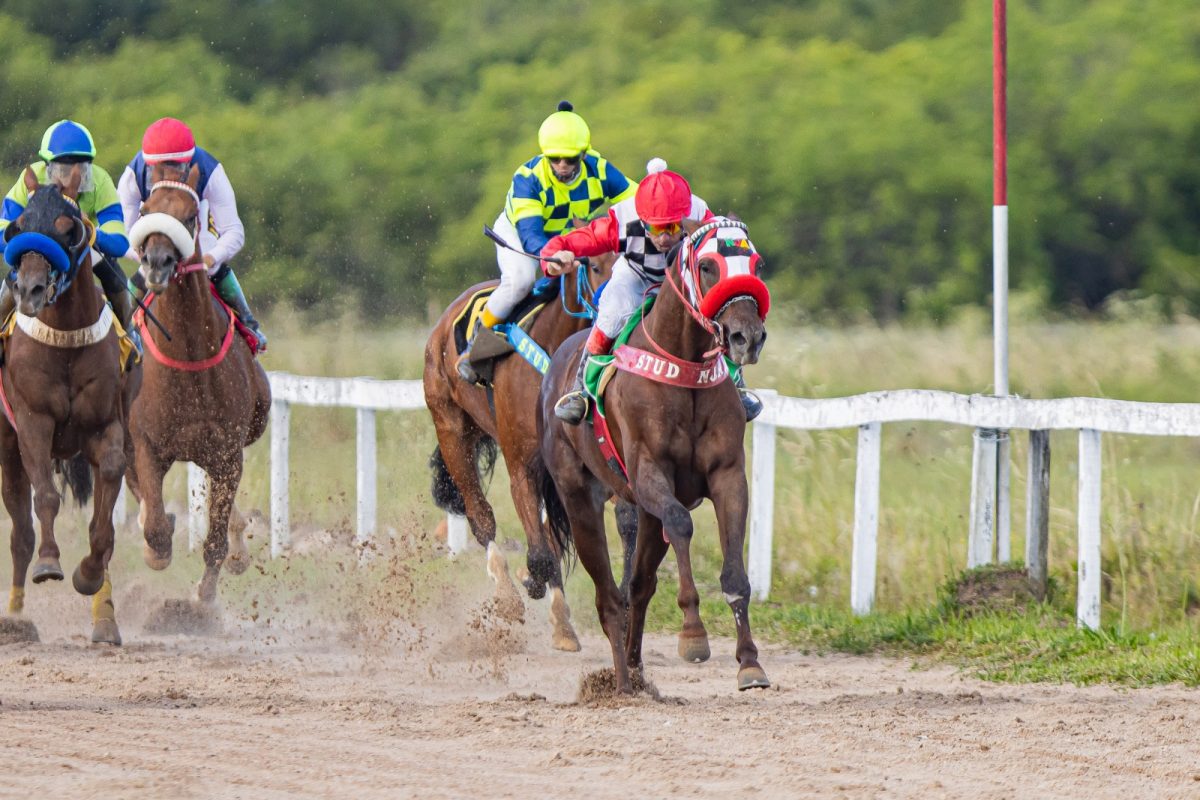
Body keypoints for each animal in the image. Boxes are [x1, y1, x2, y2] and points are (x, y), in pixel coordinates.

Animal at [0, 169, 140, 642]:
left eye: (69, 229)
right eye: (19, 225)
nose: (29, 291)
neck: (65, 340)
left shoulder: (104, 426)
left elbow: (105, 519)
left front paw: (89, 573)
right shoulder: (32, 421)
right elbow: (45, 497)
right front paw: (49, 562)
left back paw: (105, 620)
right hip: (7, 448)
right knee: (20, 532)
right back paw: (16, 616)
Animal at [124, 165, 270, 604]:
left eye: (191, 217)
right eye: (146, 210)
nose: (156, 263)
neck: (188, 360)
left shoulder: (227, 451)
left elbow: (216, 539)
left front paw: (207, 589)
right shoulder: (146, 443)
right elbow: (155, 527)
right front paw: (155, 547)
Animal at [424, 237, 633, 652]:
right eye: (595, 267)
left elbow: (619, 522)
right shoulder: (522, 465)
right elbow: (540, 552)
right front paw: (532, 583)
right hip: (451, 429)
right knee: (480, 516)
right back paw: (507, 593)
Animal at [542, 215, 768, 690]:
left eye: (756, 263)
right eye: (707, 265)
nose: (747, 337)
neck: (684, 370)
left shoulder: (727, 474)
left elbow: (734, 572)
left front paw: (750, 663)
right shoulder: (649, 475)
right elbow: (681, 525)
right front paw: (693, 634)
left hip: (644, 514)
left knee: (638, 587)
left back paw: (635, 669)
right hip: (579, 499)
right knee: (609, 596)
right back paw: (621, 684)